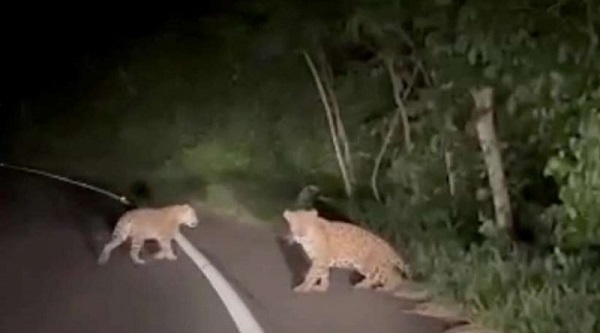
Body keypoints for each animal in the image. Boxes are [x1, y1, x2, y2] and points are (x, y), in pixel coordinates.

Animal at [282, 209, 412, 292]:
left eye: (307, 223)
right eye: (295, 223)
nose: (300, 234)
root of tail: (387, 246)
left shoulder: (320, 260)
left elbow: (312, 275)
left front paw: (303, 288)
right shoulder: (322, 261)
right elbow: (324, 274)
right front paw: (322, 288)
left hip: (372, 265)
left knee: (394, 277)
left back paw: (384, 289)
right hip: (364, 266)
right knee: (378, 277)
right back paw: (362, 286)